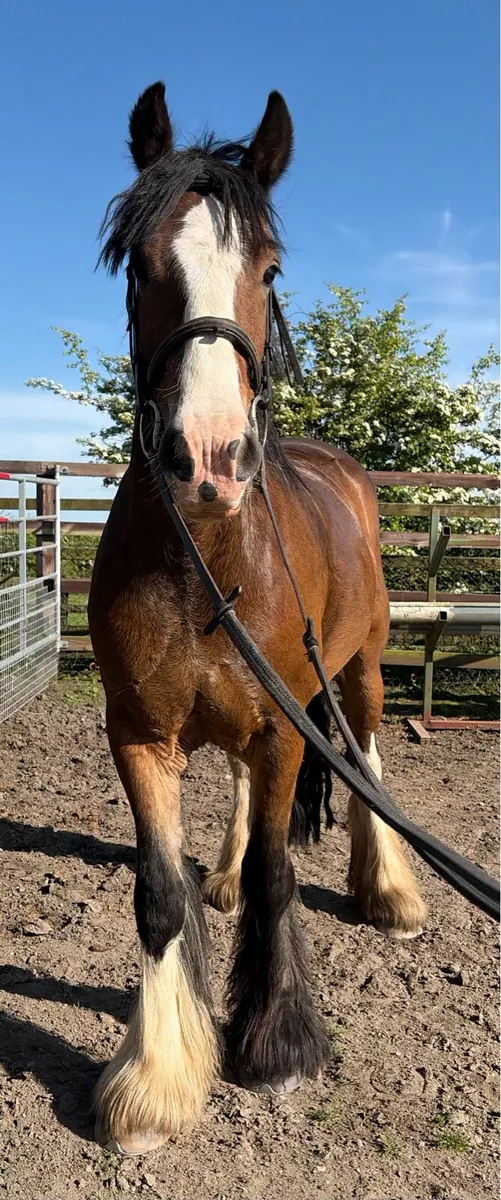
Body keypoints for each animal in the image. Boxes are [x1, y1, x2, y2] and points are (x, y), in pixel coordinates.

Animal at [88, 81, 427, 1156]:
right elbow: (160, 897)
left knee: (367, 758)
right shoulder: (138, 733)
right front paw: (156, 1083)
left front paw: (276, 1046)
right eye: (140, 265)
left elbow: (284, 876)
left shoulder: (285, 730)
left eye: (267, 269)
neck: (205, 558)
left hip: (357, 671)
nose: (208, 458)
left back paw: (391, 890)